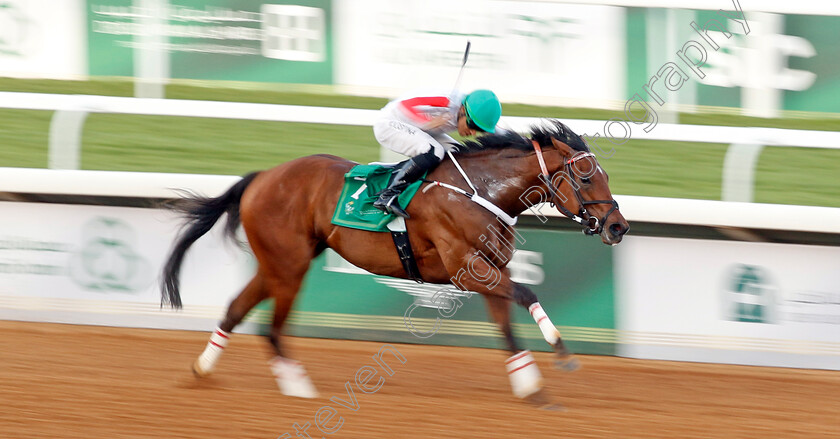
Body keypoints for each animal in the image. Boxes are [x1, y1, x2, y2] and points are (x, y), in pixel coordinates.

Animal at [161, 119, 628, 406]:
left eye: (606, 175)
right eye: (587, 177)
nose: (618, 226)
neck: (479, 192)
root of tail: (262, 176)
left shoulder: (492, 270)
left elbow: (506, 324)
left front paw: (530, 386)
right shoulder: (469, 270)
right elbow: (528, 293)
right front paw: (561, 351)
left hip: (278, 263)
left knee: (237, 310)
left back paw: (204, 370)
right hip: (288, 266)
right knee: (271, 325)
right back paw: (297, 385)